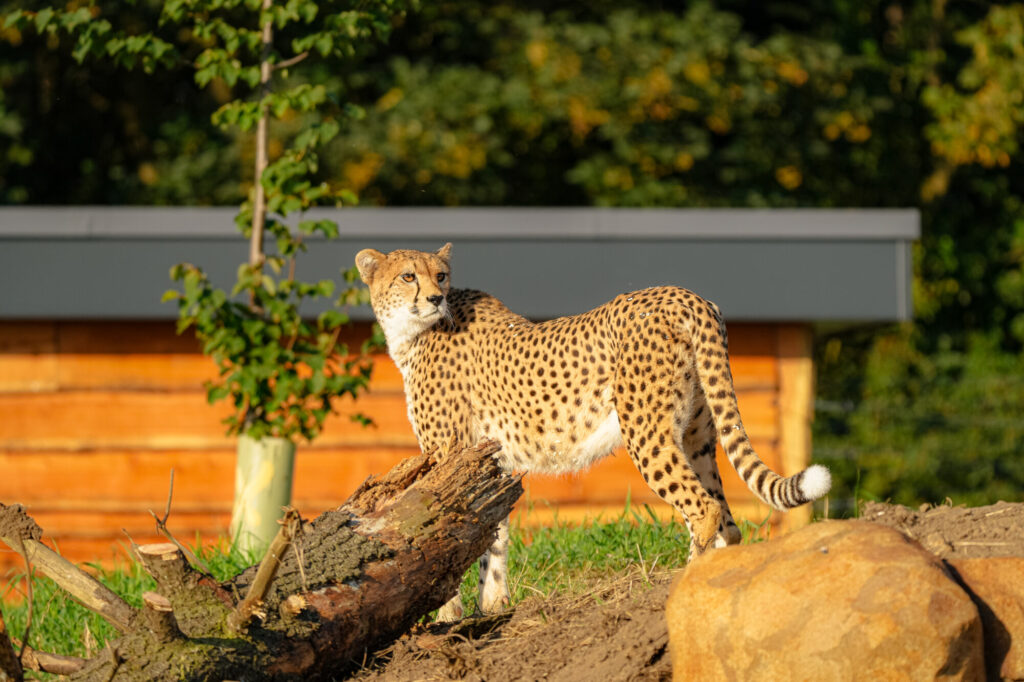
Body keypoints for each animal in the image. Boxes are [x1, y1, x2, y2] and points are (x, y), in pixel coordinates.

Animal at [355, 243, 831, 620]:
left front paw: (446, 615)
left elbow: (440, 531)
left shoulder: (447, 454)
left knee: (703, 508)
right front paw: (492, 607)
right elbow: (493, 536)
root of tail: (686, 295)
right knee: (728, 522)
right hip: (697, 435)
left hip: (645, 430)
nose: (435, 298)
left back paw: (686, 577)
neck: (415, 331)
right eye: (409, 276)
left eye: (440, 275)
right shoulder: (490, 464)